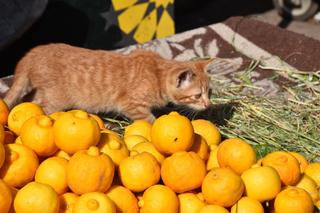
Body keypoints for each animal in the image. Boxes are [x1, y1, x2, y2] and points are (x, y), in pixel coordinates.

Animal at [4, 42, 240, 121]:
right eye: (198, 95)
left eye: (210, 93)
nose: (208, 105)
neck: (156, 73)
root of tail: (31, 54)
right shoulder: (132, 105)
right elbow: (149, 121)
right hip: (55, 100)